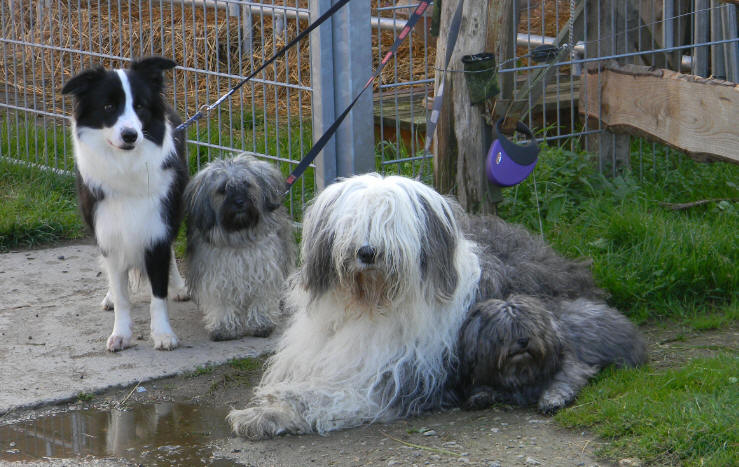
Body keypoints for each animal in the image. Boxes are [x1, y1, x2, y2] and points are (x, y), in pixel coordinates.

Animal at [184, 155, 296, 342]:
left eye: (246, 184)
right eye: (222, 190)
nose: (239, 202)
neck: (239, 239)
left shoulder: (264, 271)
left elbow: (261, 299)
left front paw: (261, 323)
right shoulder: (217, 276)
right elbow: (222, 302)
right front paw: (224, 327)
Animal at [460, 296, 644, 414]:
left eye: (530, 328)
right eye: (505, 332)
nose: (523, 341)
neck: (523, 371)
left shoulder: (571, 369)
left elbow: (559, 384)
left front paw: (551, 401)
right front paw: (480, 397)